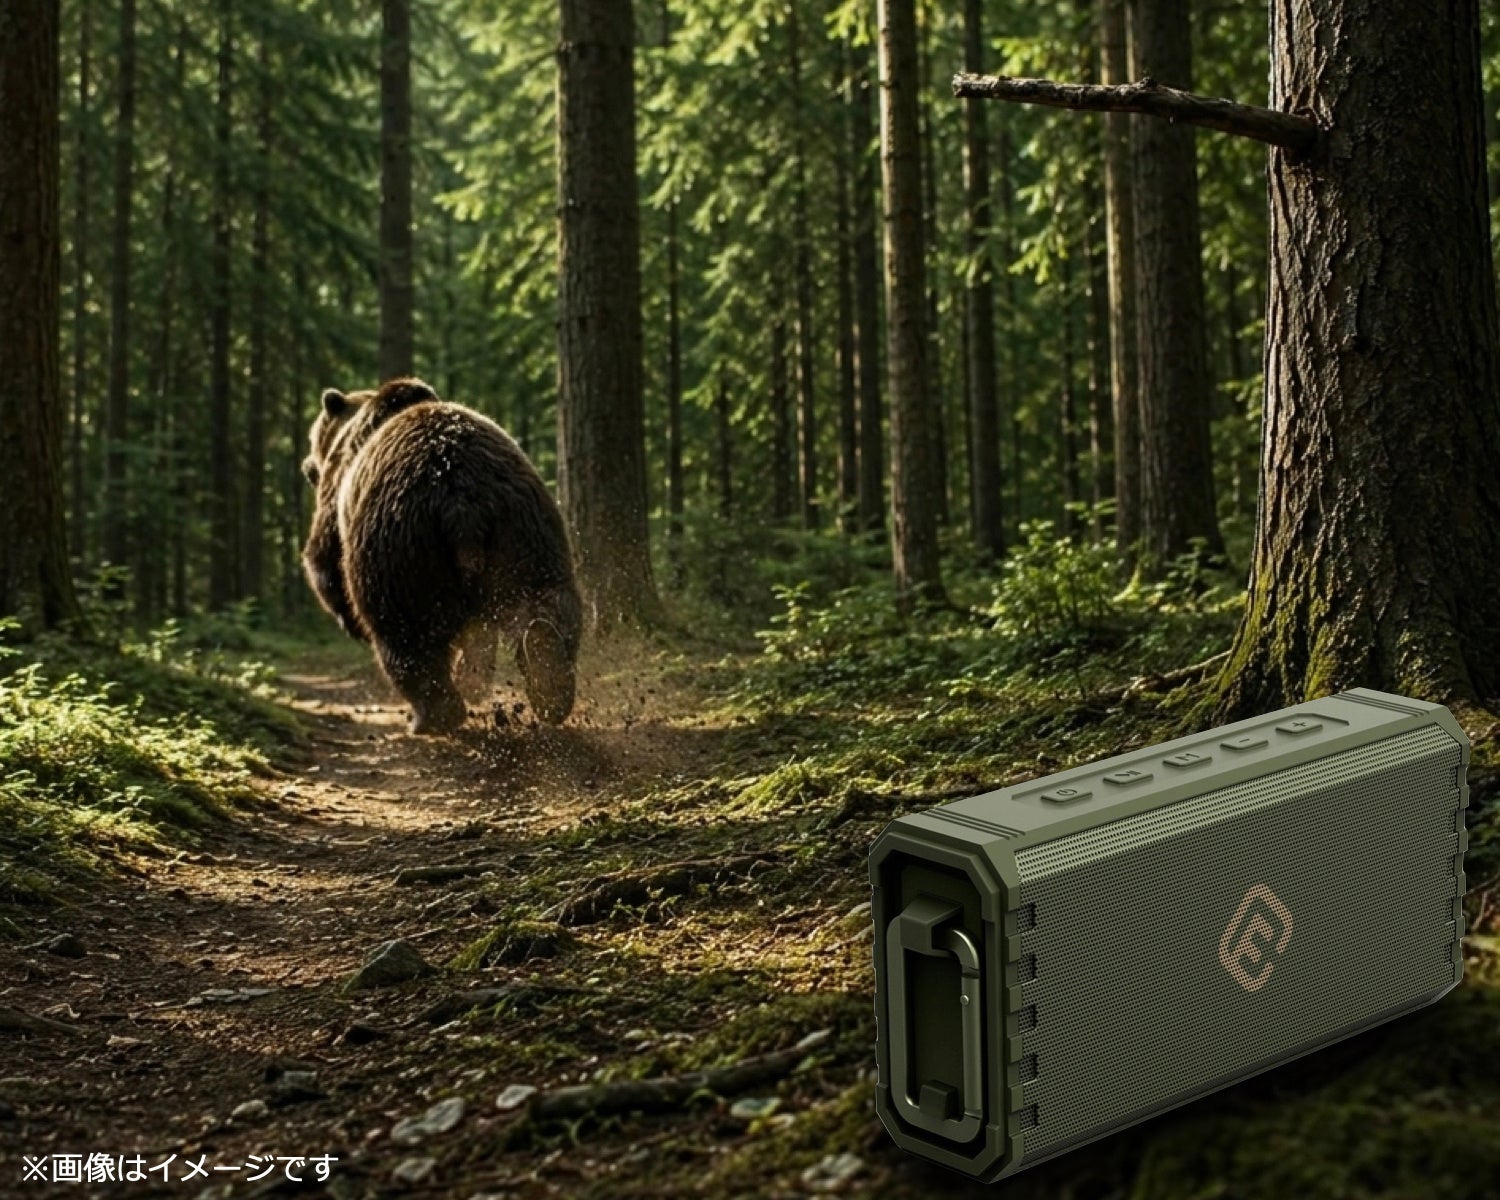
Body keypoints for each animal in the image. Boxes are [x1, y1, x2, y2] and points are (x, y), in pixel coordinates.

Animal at [301, 377, 583, 734]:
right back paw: (548, 680)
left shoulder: (338, 500)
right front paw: (474, 679)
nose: (307, 466)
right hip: (525, 529)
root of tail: (462, 502)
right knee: (548, 603)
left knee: (405, 635)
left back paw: (431, 716)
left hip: (398, 549)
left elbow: (324, 557)